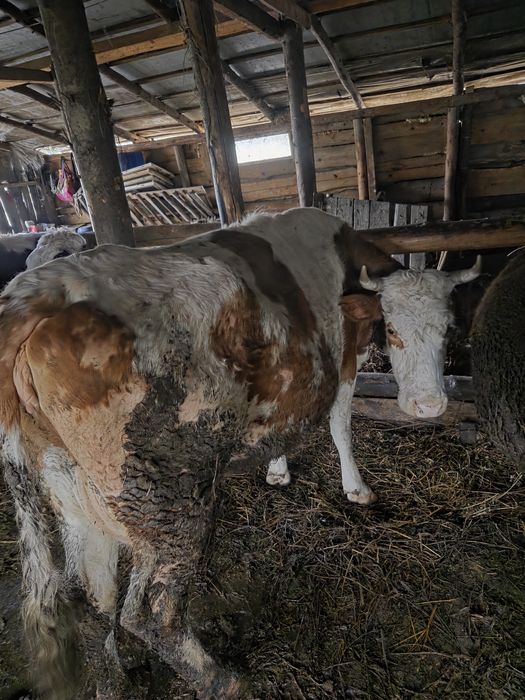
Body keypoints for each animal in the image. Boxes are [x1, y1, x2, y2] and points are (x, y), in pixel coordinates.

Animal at [0, 207, 481, 699]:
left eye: (448, 331)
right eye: (392, 328)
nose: (428, 406)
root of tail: (39, 287)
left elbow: (283, 429)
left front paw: (277, 471)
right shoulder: (344, 361)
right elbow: (341, 425)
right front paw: (356, 488)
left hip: (67, 485)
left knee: (90, 594)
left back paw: (117, 675)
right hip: (168, 500)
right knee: (150, 610)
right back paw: (222, 679)